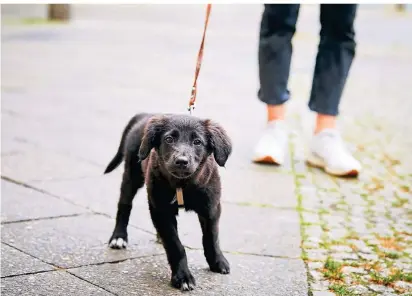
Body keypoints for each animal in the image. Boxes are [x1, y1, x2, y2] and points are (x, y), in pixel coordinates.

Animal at [103, 112, 232, 290]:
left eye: (197, 142)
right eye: (169, 139)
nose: (182, 161)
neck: (182, 184)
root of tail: (146, 115)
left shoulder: (211, 208)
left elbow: (212, 237)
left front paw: (218, 262)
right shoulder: (161, 210)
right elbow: (175, 244)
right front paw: (183, 277)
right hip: (132, 174)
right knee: (124, 205)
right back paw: (119, 237)